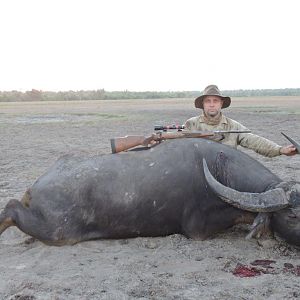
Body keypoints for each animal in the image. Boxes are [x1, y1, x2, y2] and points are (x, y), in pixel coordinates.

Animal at [0, 138, 298, 246]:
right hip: (57, 232)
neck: (217, 167)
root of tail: (36, 186)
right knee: (11, 206)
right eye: (293, 216)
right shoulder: (197, 230)